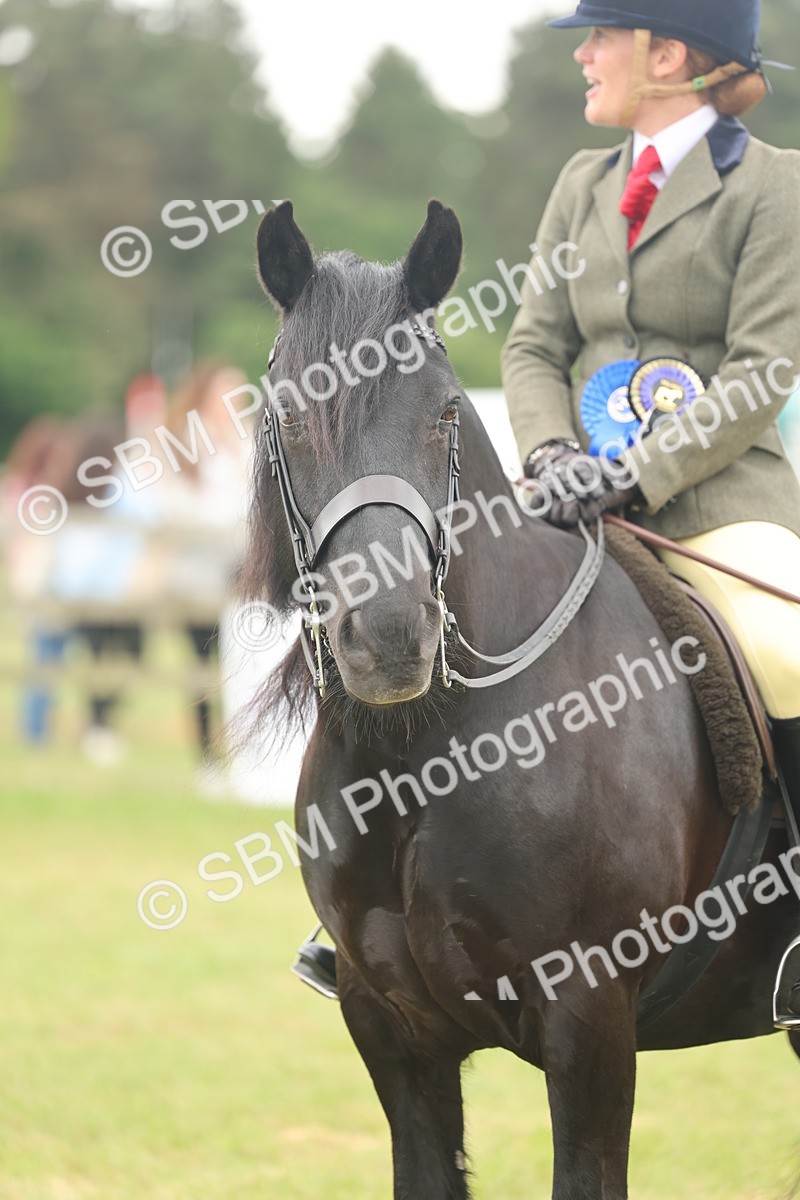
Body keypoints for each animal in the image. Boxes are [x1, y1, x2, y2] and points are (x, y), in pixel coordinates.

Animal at [244, 198, 800, 1200]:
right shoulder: (392, 1032)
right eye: (291, 415)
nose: (391, 638)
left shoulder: (590, 1025)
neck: (423, 754)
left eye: (444, 412)